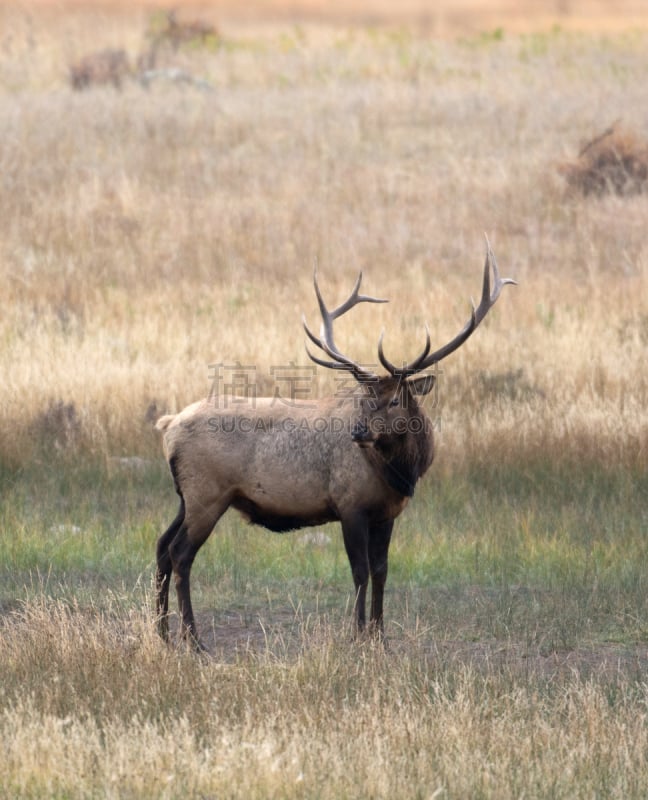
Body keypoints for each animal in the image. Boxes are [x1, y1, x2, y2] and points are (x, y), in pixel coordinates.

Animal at [154, 241, 512, 648]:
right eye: (365, 397)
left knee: (162, 548)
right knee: (180, 554)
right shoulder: (350, 504)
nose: (357, 432)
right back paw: (193, 639)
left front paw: (380, 636)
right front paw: (357, 635)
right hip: (207, 494)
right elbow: (359, 571)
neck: (400, 473)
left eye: (394, 400)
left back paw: (162, 632)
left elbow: (382, 570)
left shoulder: (387, 513)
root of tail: (168, 425)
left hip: (186, 497)